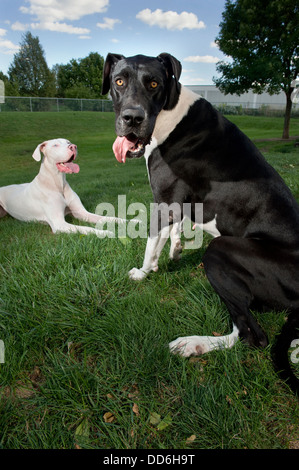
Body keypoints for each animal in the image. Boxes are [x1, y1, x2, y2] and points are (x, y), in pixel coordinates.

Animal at [103, 52, 299, 392]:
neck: (168, 113)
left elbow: (151, 241)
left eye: (153, 83)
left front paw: (143, 271)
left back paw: (193, 343)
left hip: (220, 251)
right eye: (119, 80)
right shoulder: (176, 204)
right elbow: (171, 232)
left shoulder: (164, 201)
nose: (132, 118)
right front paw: (174, 251)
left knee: (251, 336)